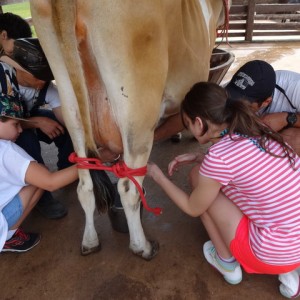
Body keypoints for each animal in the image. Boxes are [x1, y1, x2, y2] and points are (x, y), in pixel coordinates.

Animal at [29, 0, 229, 258]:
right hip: (137, 109)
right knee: (128, 189)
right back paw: (142, 246)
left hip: (69, 101)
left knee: (85, 186)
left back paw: (90, 241)